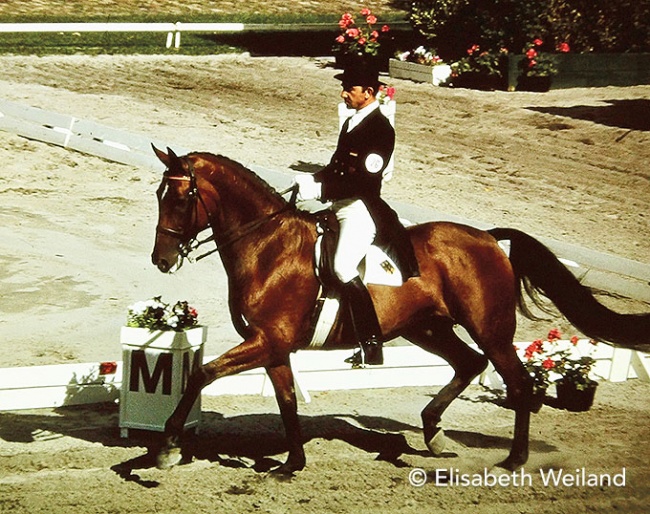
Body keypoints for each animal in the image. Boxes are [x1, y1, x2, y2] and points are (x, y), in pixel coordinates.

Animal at [148, 146, 648, 474]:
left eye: (180, 198)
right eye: (158, 195)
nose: (161, 261)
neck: (267, 245)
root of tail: (488, 238)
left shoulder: (266, 341)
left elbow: (202, 373)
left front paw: (167, 445)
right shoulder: (274, 346)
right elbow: (286, 401)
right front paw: (293, 462)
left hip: (489, 329)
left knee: (518, 383)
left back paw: (514, 459)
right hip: (426, 328)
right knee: (469, 364)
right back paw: (434, 434)